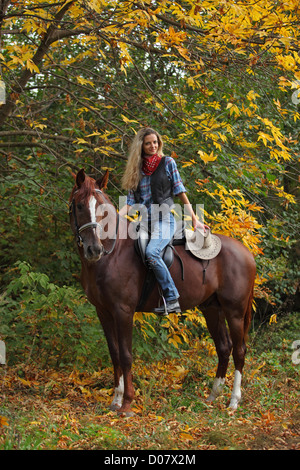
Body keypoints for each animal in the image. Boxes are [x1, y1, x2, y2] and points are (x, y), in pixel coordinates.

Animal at [69, 169, 255, 414]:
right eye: (80, 205)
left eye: (102, 207)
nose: (94, 249)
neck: (112, 253)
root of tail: (247, 253)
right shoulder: (103, 312)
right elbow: (114, 353)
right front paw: (116, 400)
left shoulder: (123, 311)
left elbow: (126, 355)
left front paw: (127, 403)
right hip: (212, 309)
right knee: (224, 348)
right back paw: (213, 396)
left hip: (235, 312)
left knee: (239, 351)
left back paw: (234, 401)